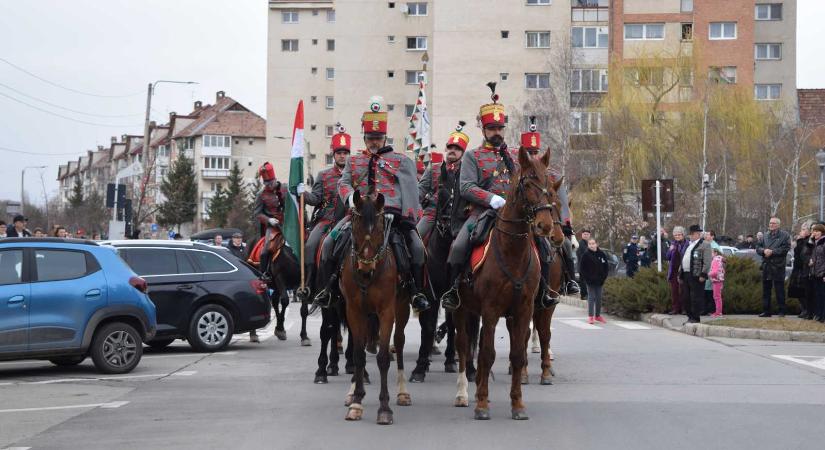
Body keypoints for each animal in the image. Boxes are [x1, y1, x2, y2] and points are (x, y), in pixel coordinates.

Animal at [338, 191, 408, 426]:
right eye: (356, 226)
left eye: (378, 228)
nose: (365, 268)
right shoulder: (353, 311)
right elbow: (358, 355)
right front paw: (356, 401)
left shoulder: (387, 312)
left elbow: (384, 358)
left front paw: (384, 408)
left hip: (402, 308)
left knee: (399, 342)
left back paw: (403, 392)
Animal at [450, 146, 560, 420]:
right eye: (527, 182)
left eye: (549, 185)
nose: (545, 225)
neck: (513, 251)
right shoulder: (491, 310)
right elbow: (487, 354)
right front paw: (481, 405)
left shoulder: (523, 309)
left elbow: (518, 354)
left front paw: (518, 404)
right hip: (460, 309)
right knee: (464, 346)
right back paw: (463, 393)